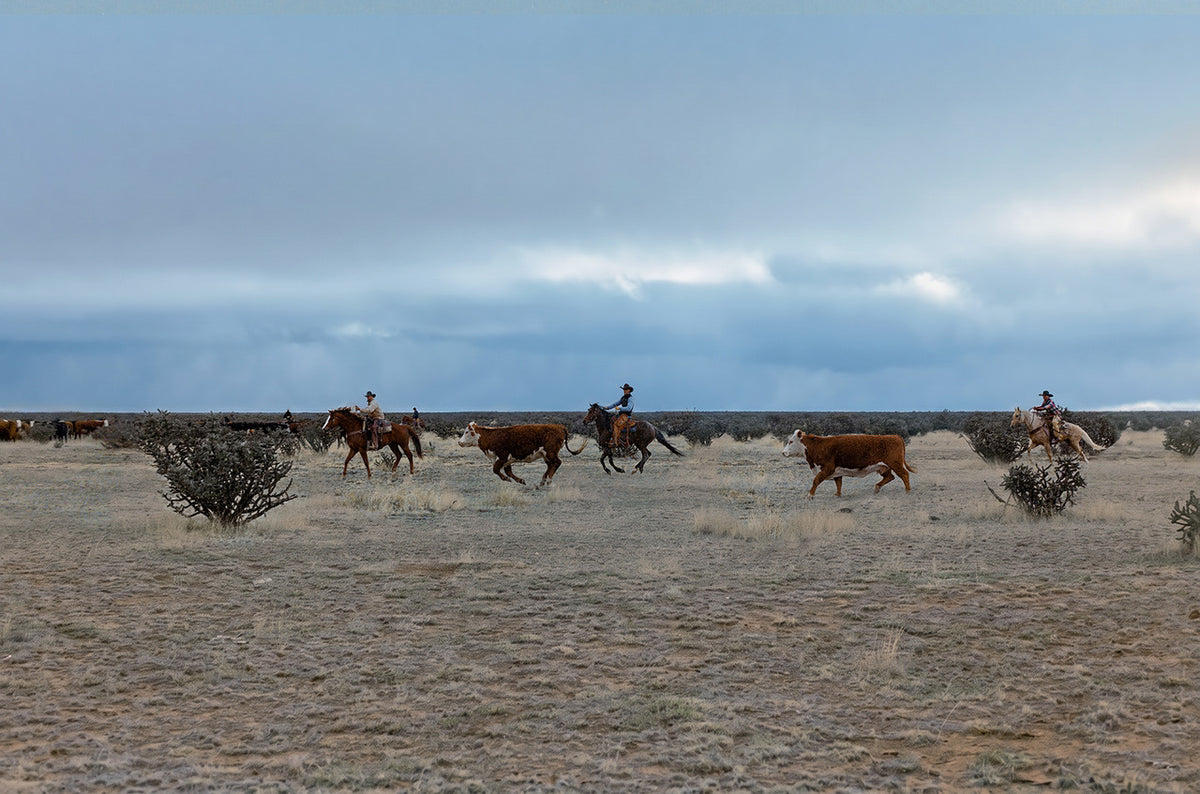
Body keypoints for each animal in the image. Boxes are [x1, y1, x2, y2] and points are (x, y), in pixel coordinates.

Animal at [457, 421, 587, 487]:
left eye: (467, 432)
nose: (459, 442)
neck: (492, 436)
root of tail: (559, 426)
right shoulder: (507, 460)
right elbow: (508, 471)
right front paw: (521, 481)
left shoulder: (502, 457)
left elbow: (496, 470)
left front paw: (507, 479)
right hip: (545, 455)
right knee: (551, 465)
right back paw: (542, 481)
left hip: (551, 452)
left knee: (557, 463)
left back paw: (548, 480)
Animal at [782, 430, 915, 498]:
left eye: (791, 441)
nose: (783, 452)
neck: (818, 446)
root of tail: (896, 436)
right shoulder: (836, 471)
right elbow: (838, 483)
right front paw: (837, 494)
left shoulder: (827, 468)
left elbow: (816, 480)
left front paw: (810, 495)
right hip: (884, 467)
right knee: (890, 477)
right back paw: (876, 488)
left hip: (895, 464)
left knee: (904, 475)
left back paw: (908, 491)